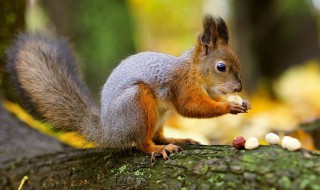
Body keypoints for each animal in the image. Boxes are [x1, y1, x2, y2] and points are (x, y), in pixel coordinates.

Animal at [6, 14, 248, 161]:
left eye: (237, 60)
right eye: (221, 67)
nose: (238, 88)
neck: (196, 72)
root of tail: (109, 131)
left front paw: (238, 102)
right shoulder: (182, 85)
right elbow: (191, 107)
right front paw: (230, 107)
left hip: (160, 114)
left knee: (157, 135)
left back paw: (174, 139)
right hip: (136, 104)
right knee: (142, 142)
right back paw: (158, 149)